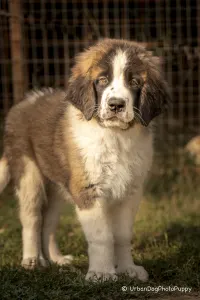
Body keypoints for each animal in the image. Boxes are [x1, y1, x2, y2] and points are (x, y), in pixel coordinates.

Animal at [0, 39, 170, 282]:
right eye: (102, 80)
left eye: (134, 82)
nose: (116, 105)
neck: (114, 136)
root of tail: (25, 101)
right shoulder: (89, 190)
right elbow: (102, 236)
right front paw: (102, 273)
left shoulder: (130, 192)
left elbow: (122, 235)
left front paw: (128, 269)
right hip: (28, 174)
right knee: (31, 219)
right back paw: (31, 260)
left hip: (58, 184)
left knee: (48, 223)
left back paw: (56, 259)